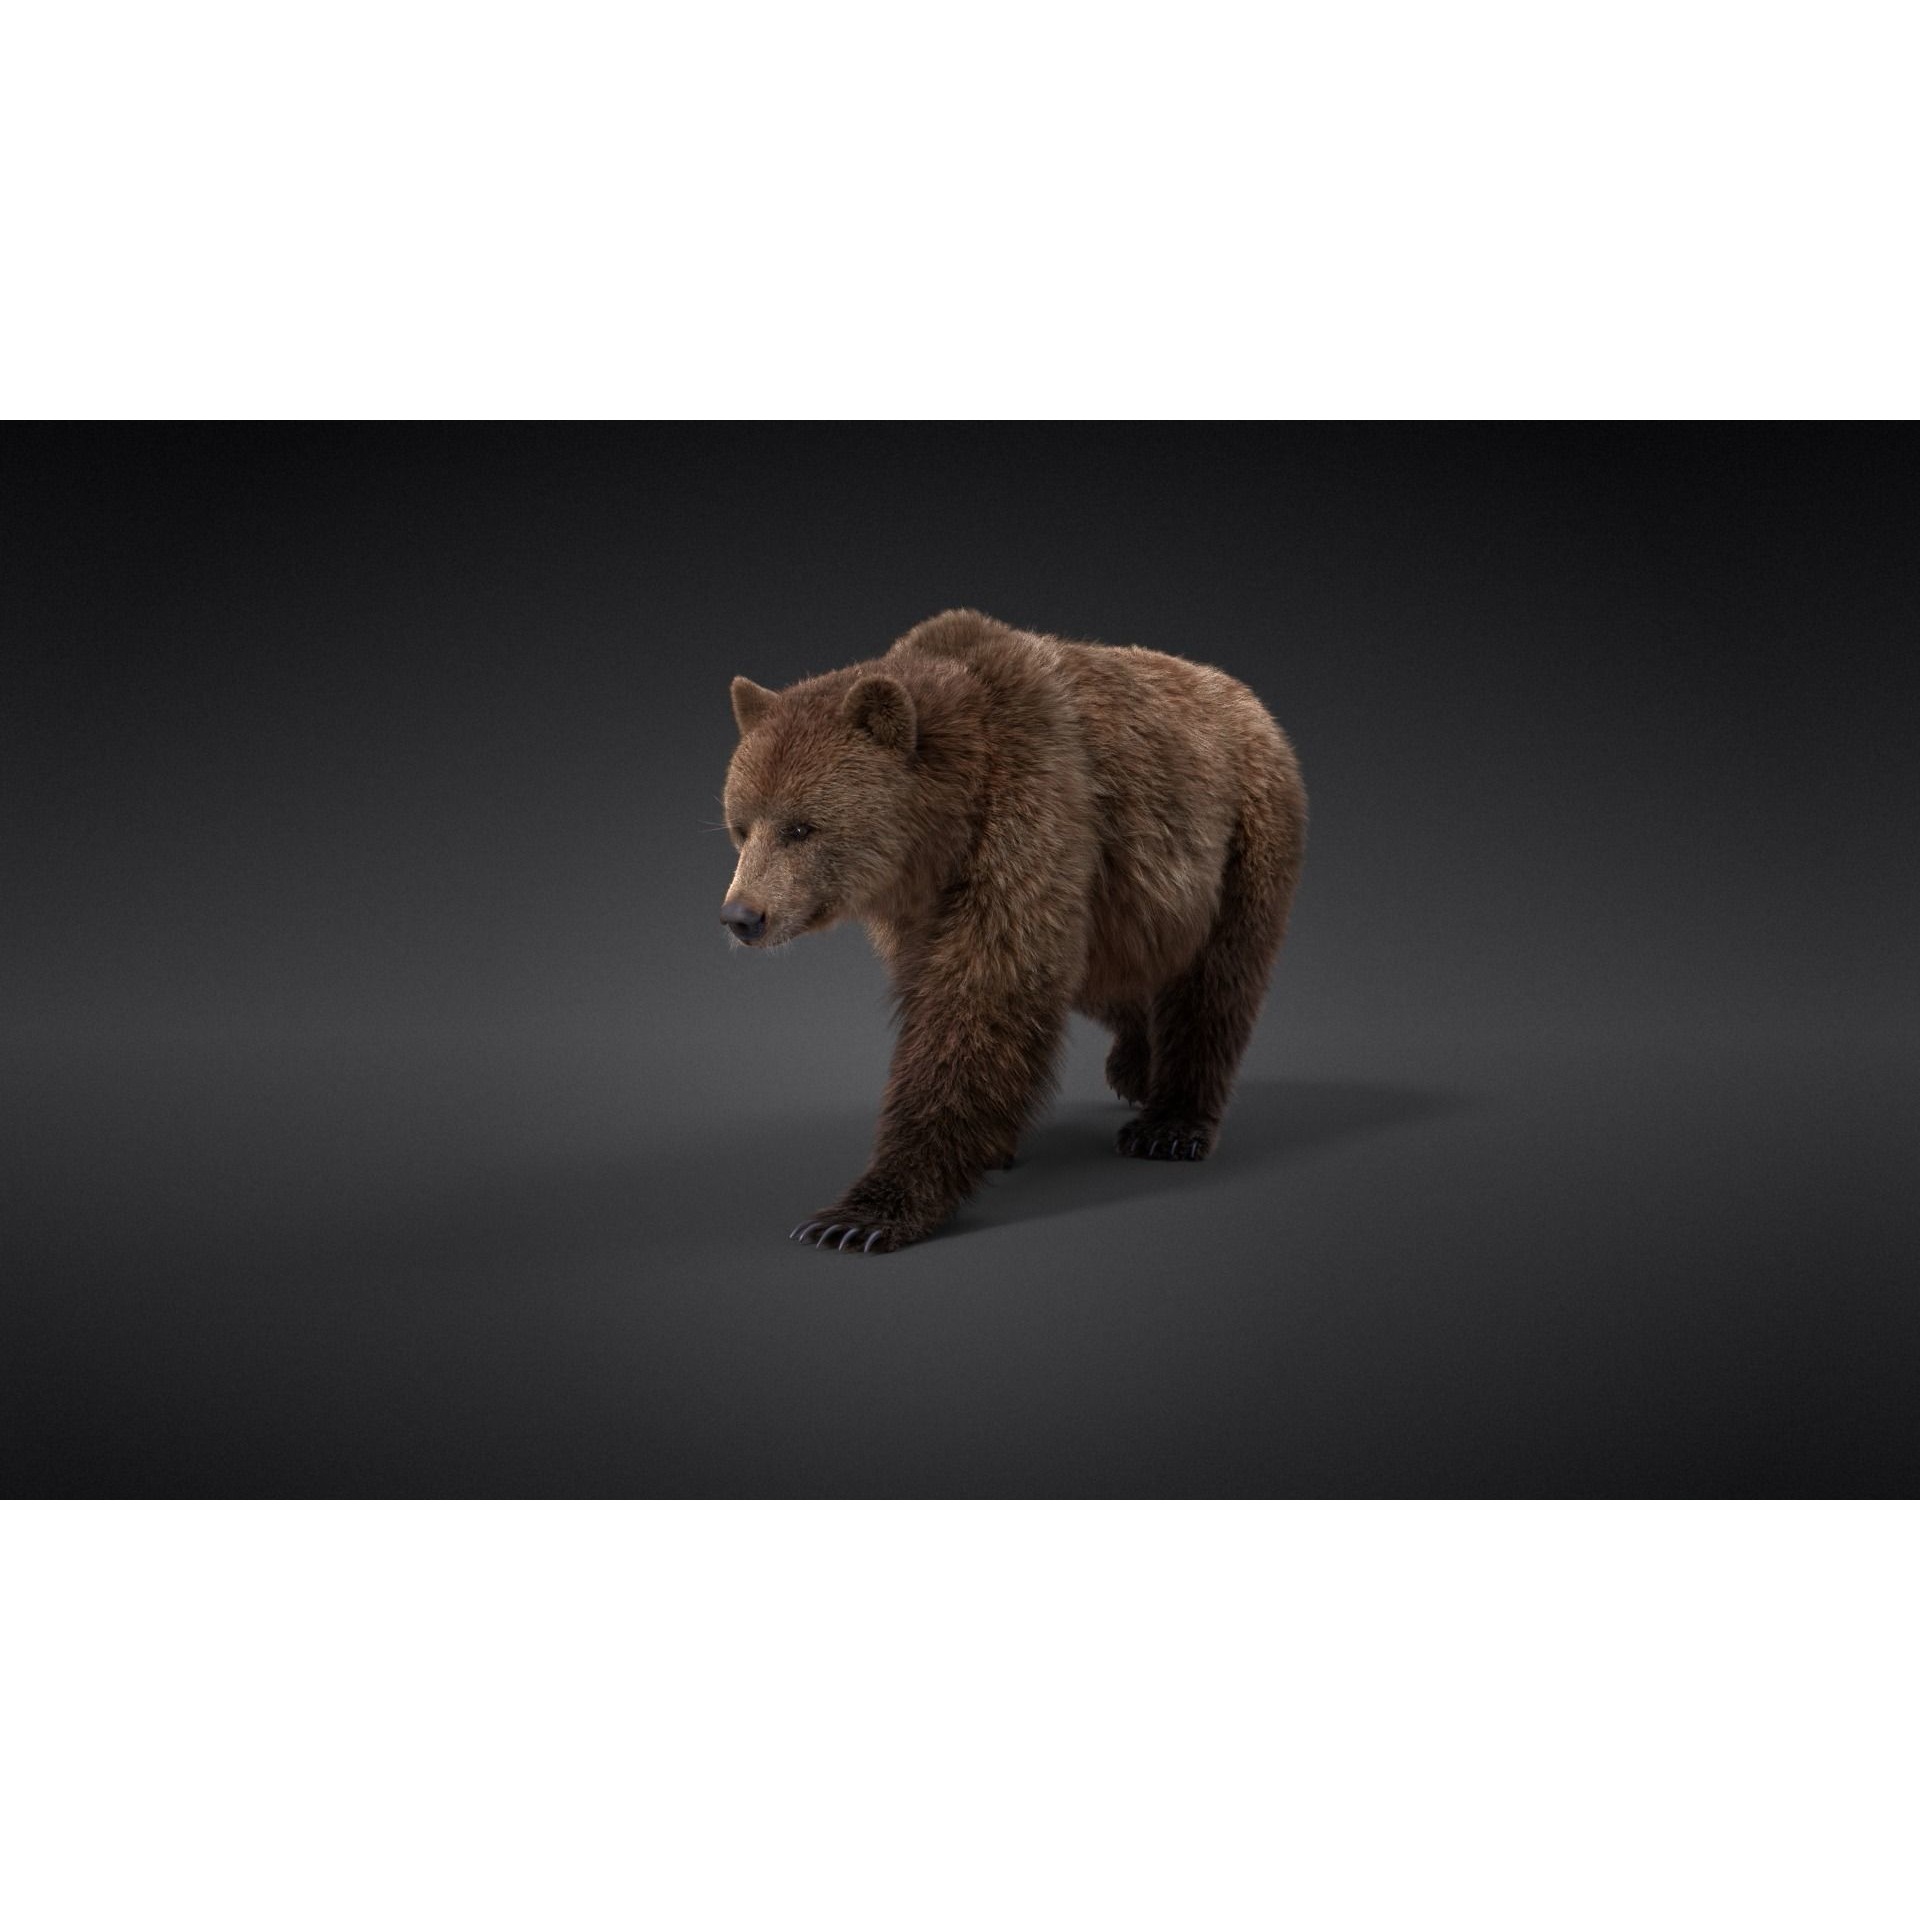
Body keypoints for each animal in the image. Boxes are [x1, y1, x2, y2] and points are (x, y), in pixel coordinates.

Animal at [719, 609, 1307, 1253]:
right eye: (740, 827)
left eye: (801, 827)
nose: (743, 916)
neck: (937, 834)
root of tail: (1250, 701)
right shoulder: (918, 911)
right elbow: (980, 989)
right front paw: (989, 1147)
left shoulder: (1030, 806)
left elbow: (984, 993)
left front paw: (859, 1215)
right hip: (1126, 905)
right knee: (1107, 975)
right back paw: (1134, 1064)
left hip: (1241, 837)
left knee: (1214, 984)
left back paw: (1170, 1123)